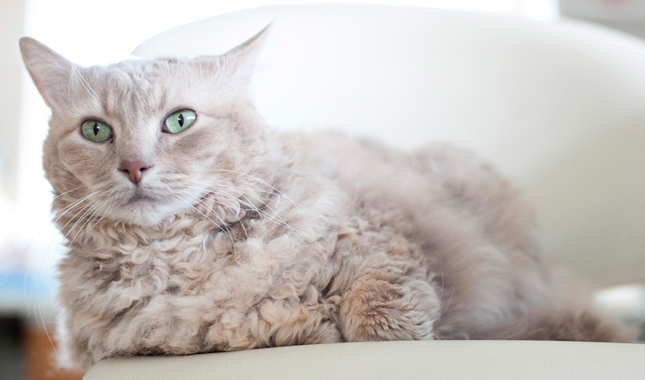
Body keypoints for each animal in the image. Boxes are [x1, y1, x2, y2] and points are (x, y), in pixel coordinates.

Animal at [17, 27, 632, 372]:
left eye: (180, 121)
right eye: (96, 131)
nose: (135, 167)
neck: (179, 260)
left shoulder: (386, 245)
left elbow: (378, 316)